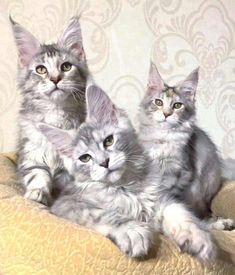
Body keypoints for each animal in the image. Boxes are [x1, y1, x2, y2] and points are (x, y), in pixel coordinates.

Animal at [10, 17, 88, 206]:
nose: (55, 78)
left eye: (66, 67)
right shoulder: (31, 155)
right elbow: (38, 174)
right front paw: (37, 193)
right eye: (41, 69)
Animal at [38, 85, 217, 262]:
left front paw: (196, 235)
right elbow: (105, 214)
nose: (104, 162)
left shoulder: (162, 199)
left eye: (109, 141)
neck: (128, 188)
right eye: (85, 158)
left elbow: (180, 213)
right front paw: (132, 230)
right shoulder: (67, 203)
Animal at [139, 61, 234, 258]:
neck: (164, 140)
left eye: (177, 105)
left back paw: (222, 223)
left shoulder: (182, 173)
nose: (166, 114)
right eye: (158, 102)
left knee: (202, 218)